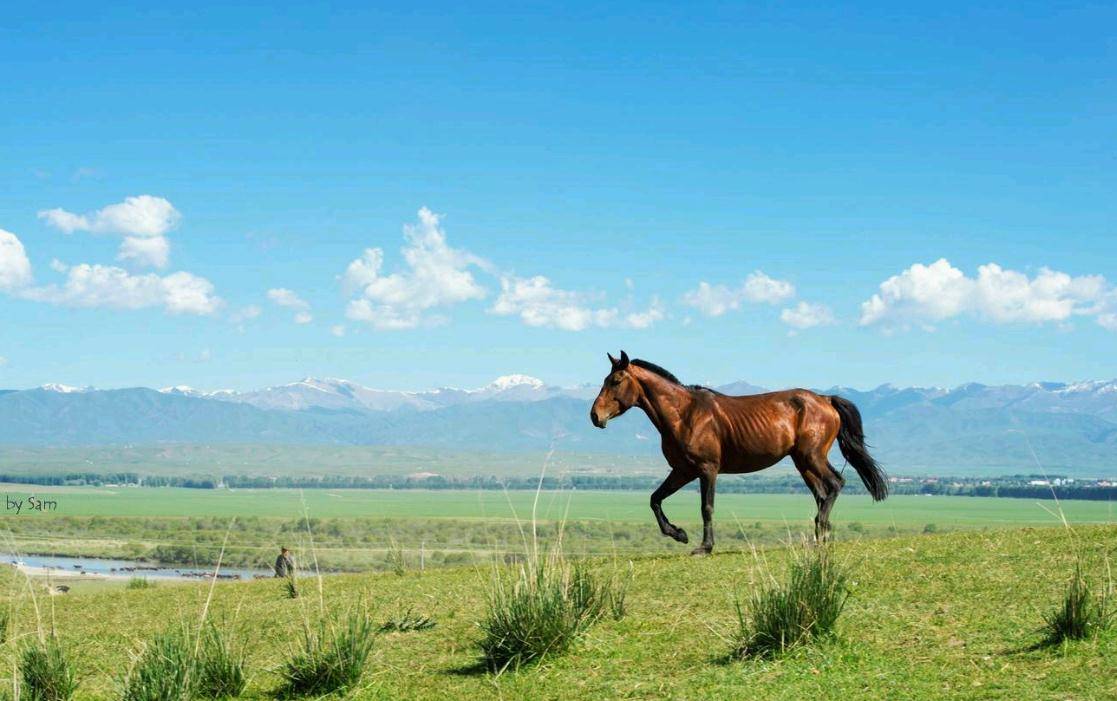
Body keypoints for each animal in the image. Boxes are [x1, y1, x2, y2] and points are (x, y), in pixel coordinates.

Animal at [589, 350, 884, 553]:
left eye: (615, 381)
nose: (595, 416)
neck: (684, 414)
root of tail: (826, 400)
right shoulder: (683, 470)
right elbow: (655, 499)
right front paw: (679, 534)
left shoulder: (707, 469)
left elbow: (706, 507)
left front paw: (704, 547)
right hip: (803, 461)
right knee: (823, 493)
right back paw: (821, 536)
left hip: (812, 457)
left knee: (836, 484)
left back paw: (821, 532)